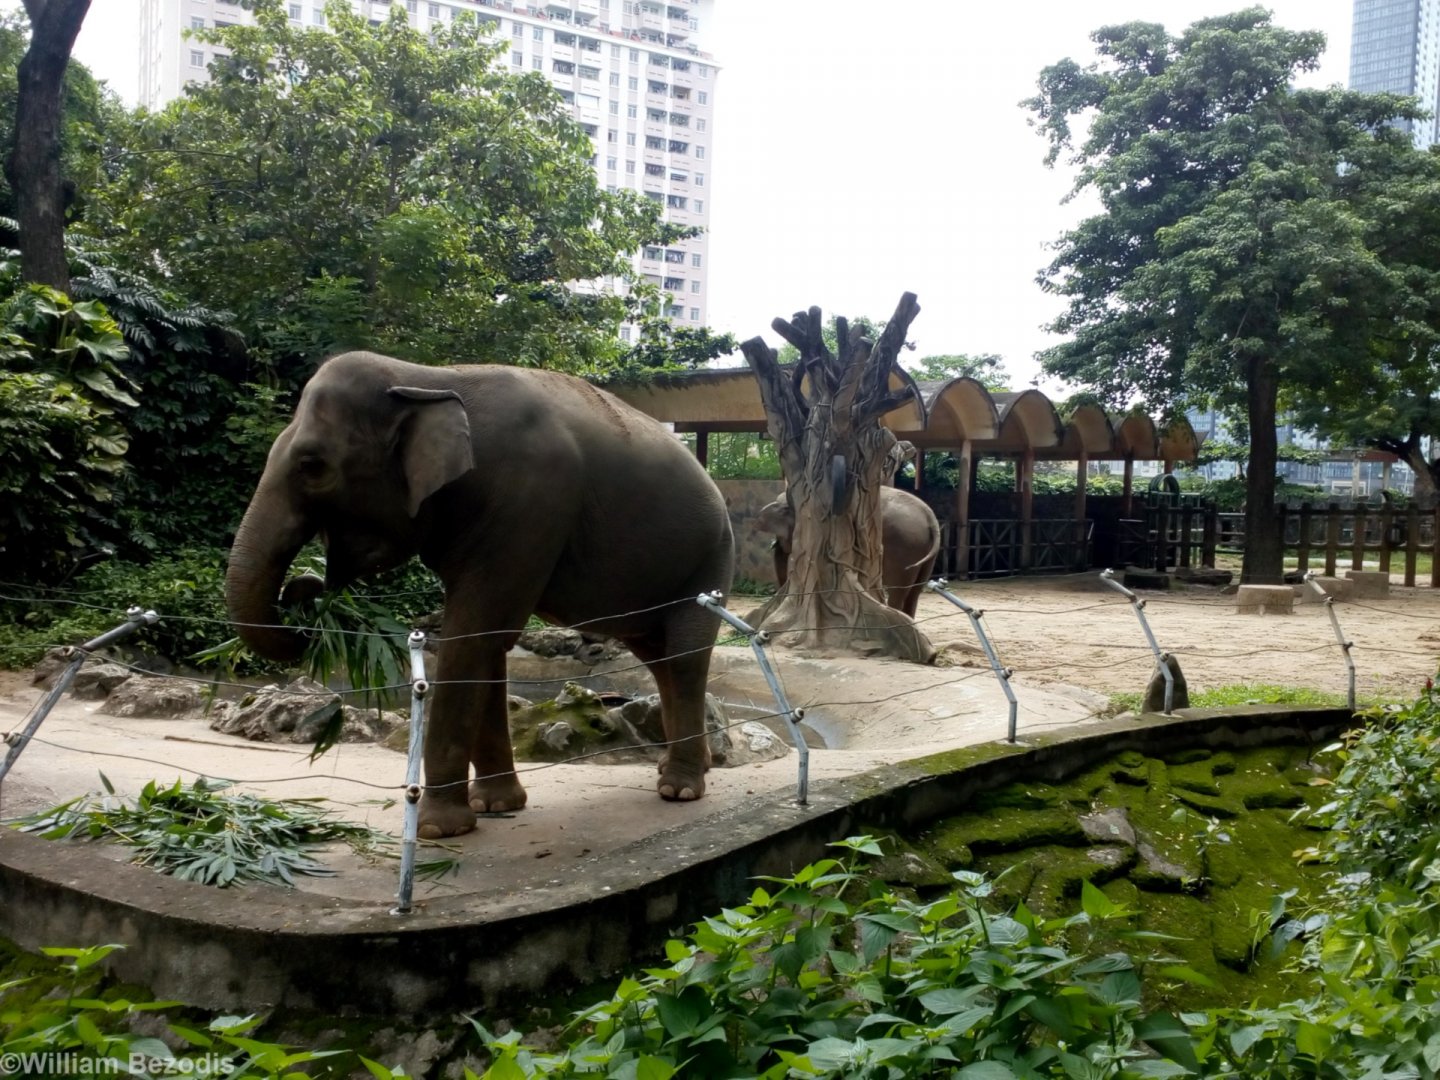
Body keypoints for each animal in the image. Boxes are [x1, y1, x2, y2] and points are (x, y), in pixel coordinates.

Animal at [225, 351, 734, 839]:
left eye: (313, 466)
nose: (305, 587)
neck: (426, 376)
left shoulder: (531, 500)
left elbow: (473, 635)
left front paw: (440, 828)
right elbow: (488, 640)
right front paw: (495, 806)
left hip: (710, 560)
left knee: (684, 657)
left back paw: (679, 788)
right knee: (659, 657)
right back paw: (679, 768)